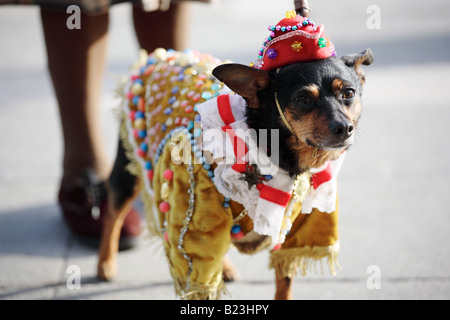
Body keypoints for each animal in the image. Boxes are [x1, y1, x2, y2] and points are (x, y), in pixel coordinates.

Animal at [97, 11, 372, 300]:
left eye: (348, 93)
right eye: (302, 100)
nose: (344, 128)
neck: (280, 159)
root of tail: (157, 57)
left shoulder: (294, 233)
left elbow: (283, 283)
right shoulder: (195, 219)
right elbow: (200, 281)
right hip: (128, 173)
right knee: (113, 212)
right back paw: (105, 263)